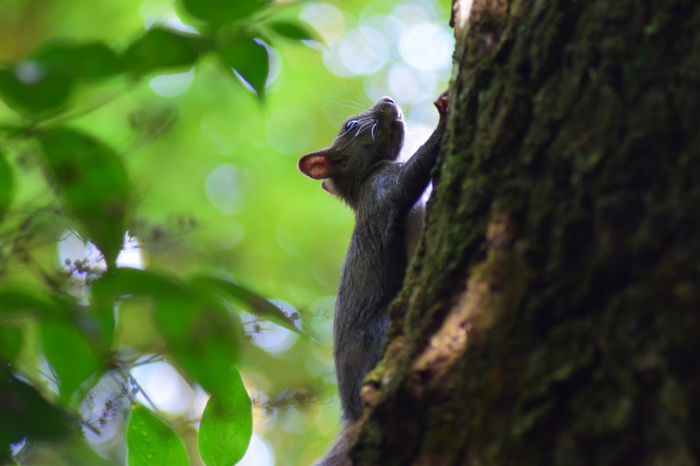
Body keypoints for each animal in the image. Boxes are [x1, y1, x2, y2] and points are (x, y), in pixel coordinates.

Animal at [298, 92, 446, 462]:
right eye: (351, 126)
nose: (388, 99)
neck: (364, 181)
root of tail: (352, 415)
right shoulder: (385, 190)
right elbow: (415, 173)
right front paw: (444, 115)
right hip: (381, 333)